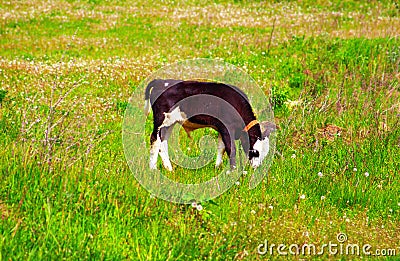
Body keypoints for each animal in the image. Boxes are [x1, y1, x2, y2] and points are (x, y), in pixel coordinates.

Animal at [144, 78, 276, 170]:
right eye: (255, 151)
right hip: (161, 120)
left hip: (169, 123)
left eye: (265, 153)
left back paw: (169, 169)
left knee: (163, 142)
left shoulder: (222, 129)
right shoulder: (227, 127)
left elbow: (221, 148)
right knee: (154, 140)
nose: (255, 168)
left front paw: (217, 167)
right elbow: (231, 149)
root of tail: (161, 81)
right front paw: (232, 171)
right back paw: (153, 169)